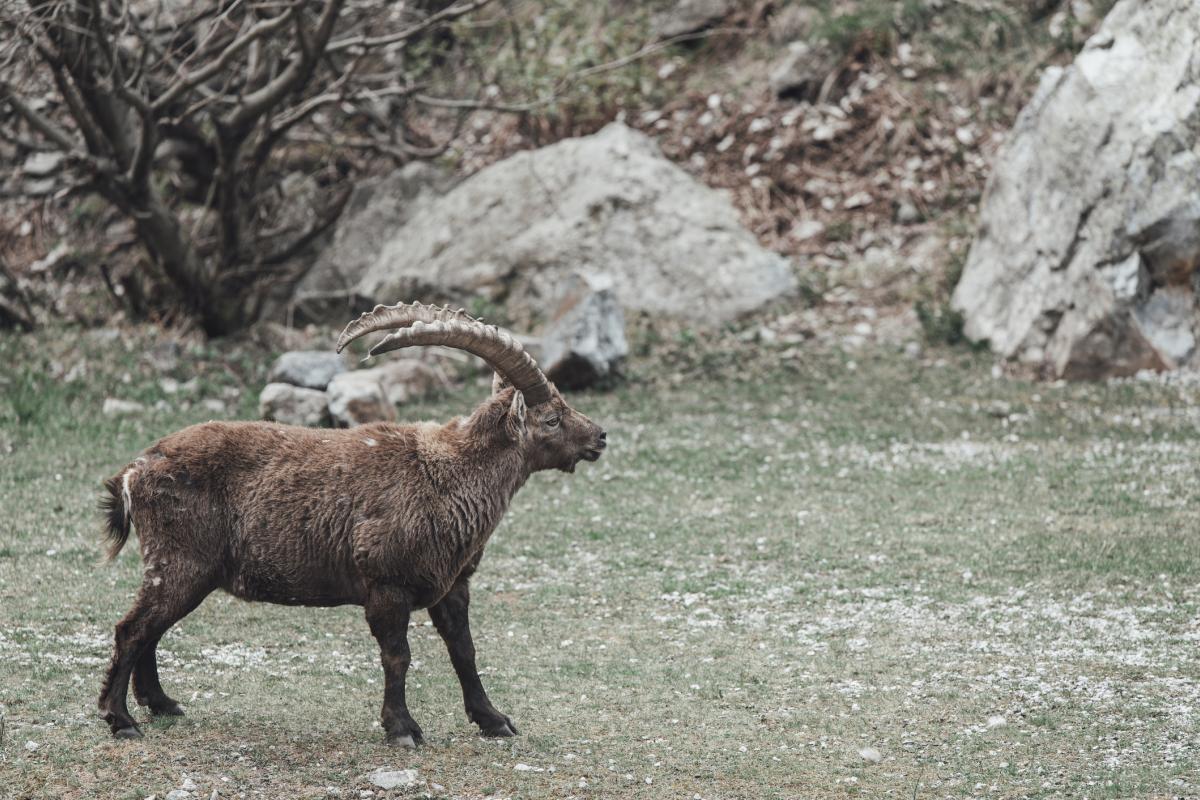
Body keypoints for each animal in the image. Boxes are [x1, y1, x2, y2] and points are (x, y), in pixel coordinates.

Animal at [96, 302, 607, 744]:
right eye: (552, 418)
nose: (600, 436)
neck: (451, 475)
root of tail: (134, 471)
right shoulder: (387, 585)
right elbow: (398, 656)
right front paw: (402, 729)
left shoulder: (453, 583)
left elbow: (464, 651)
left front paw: (494, 719)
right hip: (182, 563)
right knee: (132, 629)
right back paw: (122, 720)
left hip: (181, 571)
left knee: (150, 630)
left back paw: (161, 704)